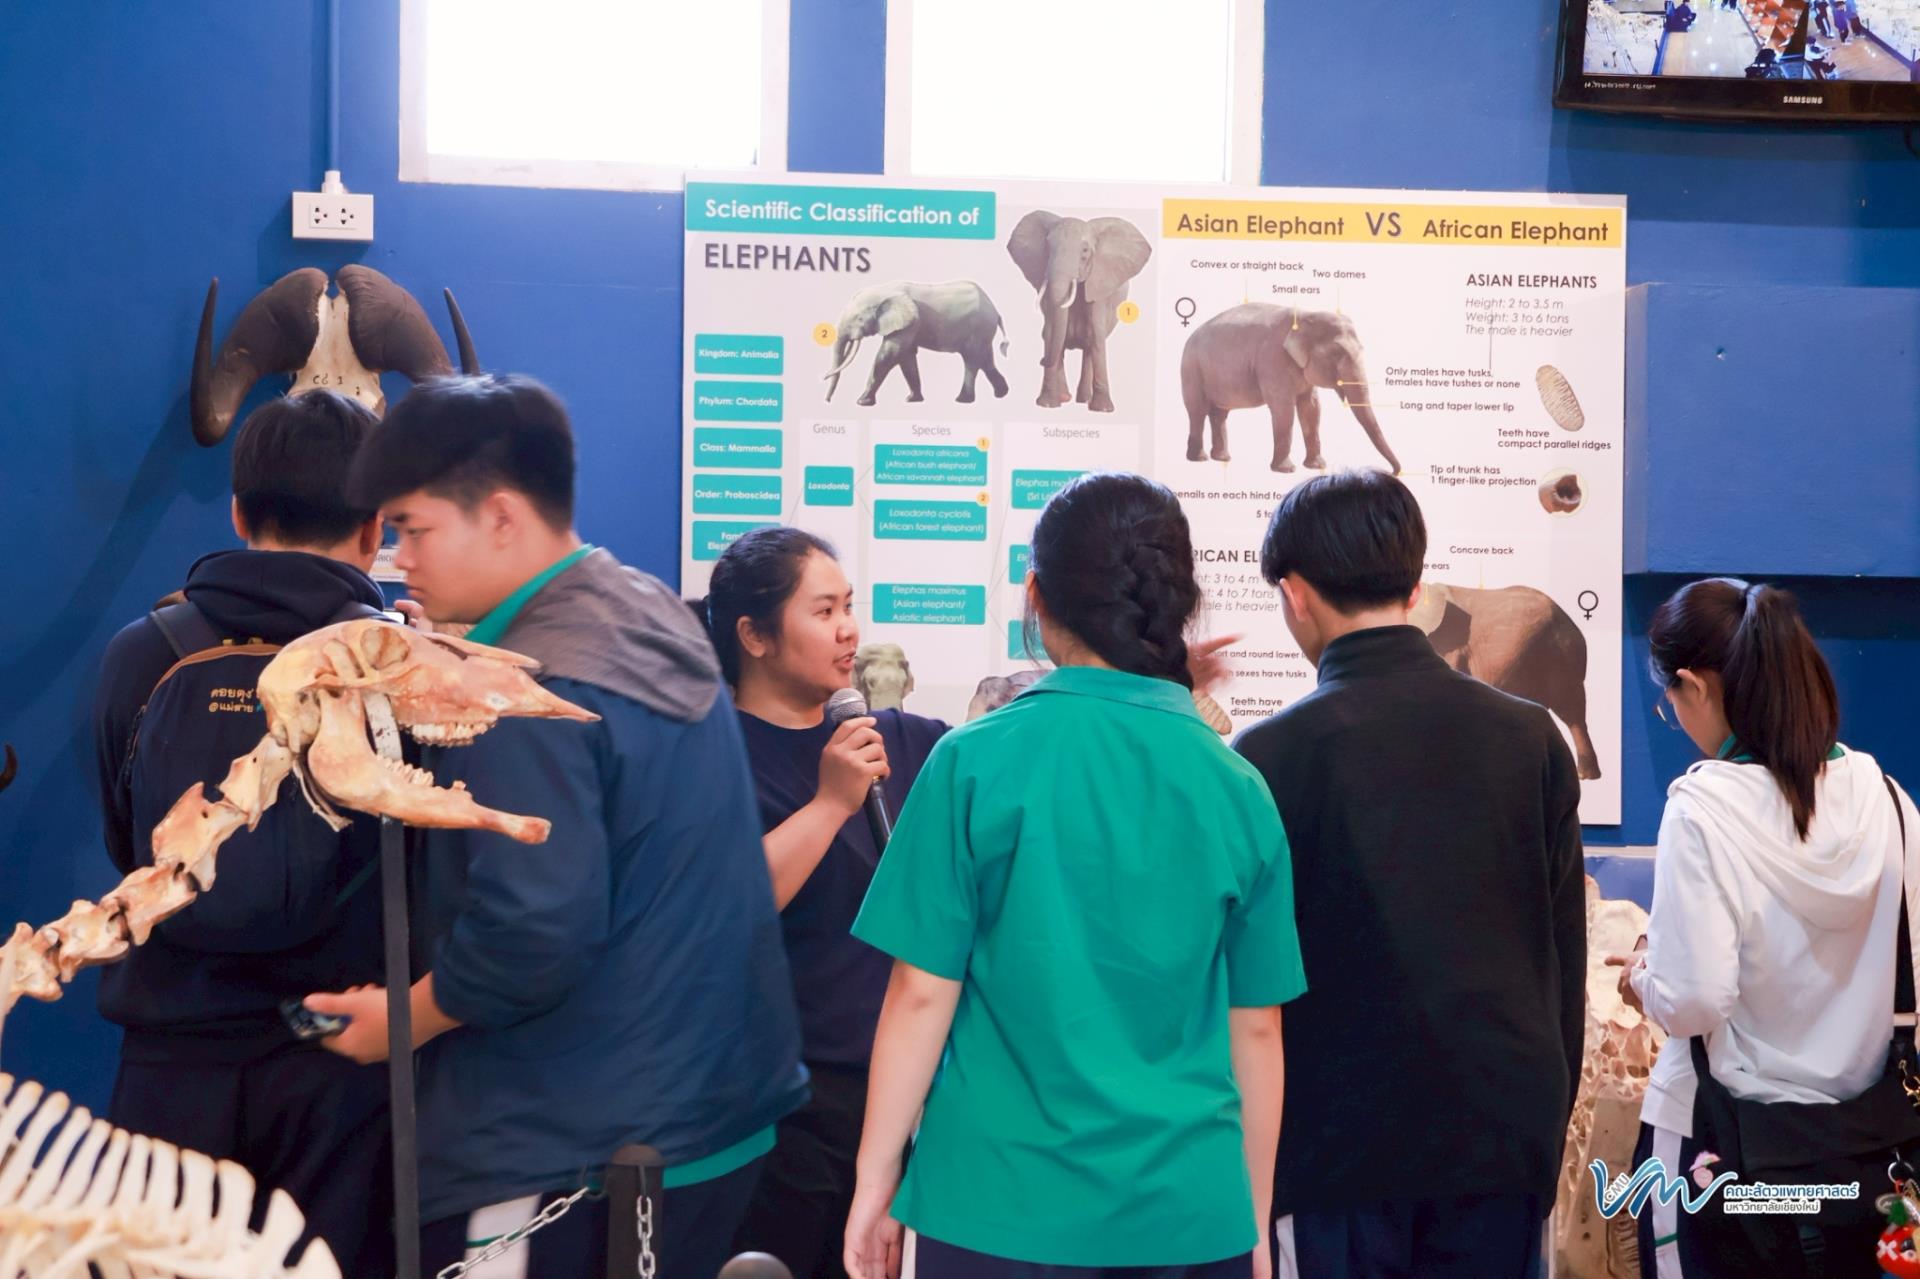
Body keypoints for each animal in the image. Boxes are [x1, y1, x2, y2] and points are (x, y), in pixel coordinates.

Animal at [822, 280, 1008, 406]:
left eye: (859, 319)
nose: (828, 400)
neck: (885, 291)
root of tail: (995, 310)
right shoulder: (908, 325)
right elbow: (906, 356)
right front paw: (912, 400)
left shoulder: (910, 323)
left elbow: (890, 354)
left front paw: (862, 402)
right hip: (982, 332)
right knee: (985, 359)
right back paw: (1002, 394)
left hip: (978, 328)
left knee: (972, 360)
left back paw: (962, 400)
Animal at [1005, 211, 1152, 413]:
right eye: (1048, 248)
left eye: (1085, 251)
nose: (1041, 360)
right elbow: (1051, 333)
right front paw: (1047, 405)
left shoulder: (1099, 284)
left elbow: (1096, 335)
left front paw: (1103, 410)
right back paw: (1065, 398)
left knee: (1090, 346)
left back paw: (1084, 400)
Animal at [1179, 304, 1400, 474]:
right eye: (1337, 353)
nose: (1393, 472)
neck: (1305, 315)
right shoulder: (1273, 360)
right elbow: (1283, 408)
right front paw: (1286, 470)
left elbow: (1311, 408)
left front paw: (1316, 466)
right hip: (1191, 370)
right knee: (1198, 411)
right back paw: (1199, 459)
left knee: (1219, 414)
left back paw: (1222, 458)